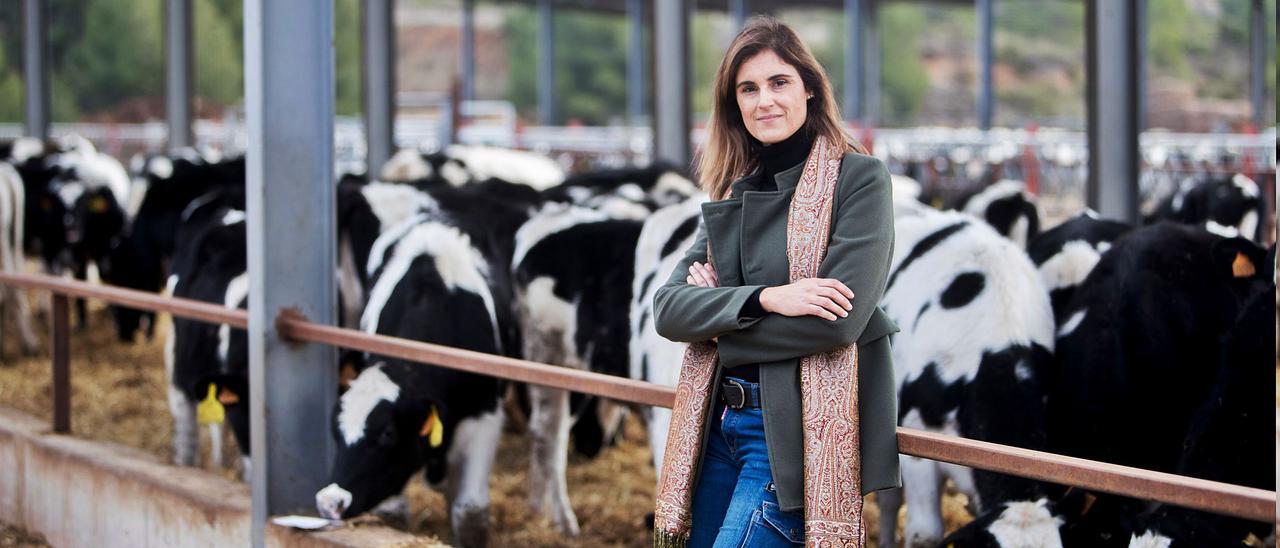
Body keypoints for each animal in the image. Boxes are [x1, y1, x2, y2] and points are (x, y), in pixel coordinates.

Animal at [314, 217, 504, 548]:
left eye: (388, 433)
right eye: (335, 430)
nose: (329, 502)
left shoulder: (485, 414)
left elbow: (471, 513)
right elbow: (393, 514)